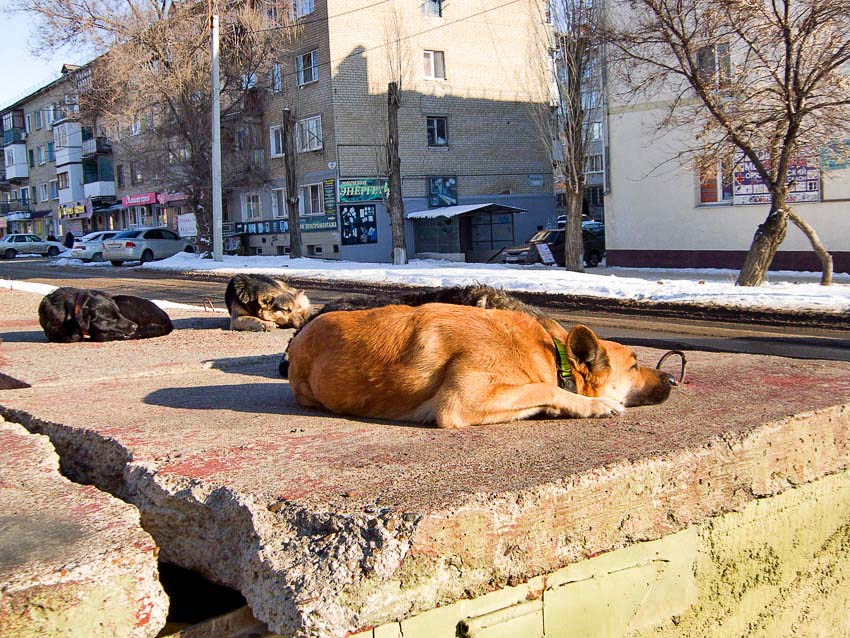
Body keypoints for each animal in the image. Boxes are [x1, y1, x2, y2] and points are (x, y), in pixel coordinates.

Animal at [286, 304, 676, 430]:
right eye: (635, 365)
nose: (673, 377)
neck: (551, 354)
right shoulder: (461, 401)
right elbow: (545, 387)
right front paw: (592, 405)